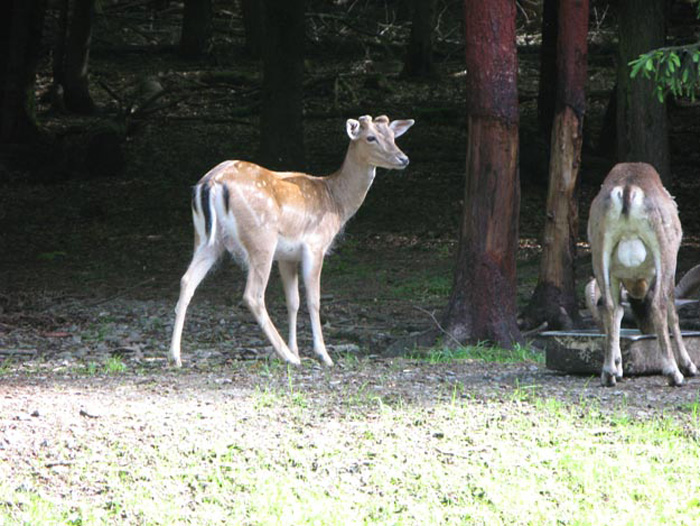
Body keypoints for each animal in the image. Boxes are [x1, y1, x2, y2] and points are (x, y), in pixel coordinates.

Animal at [588, 163, 696, 390]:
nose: (646, 328)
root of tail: (628, 190)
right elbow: (673, 312)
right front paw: (689, 367)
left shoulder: (615, 275)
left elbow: (617, 311)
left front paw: (617, 369)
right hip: (664, 254)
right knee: (660, 304)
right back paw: (674, 374)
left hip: (600, 252)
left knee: (608, 306)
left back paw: (608, 374)